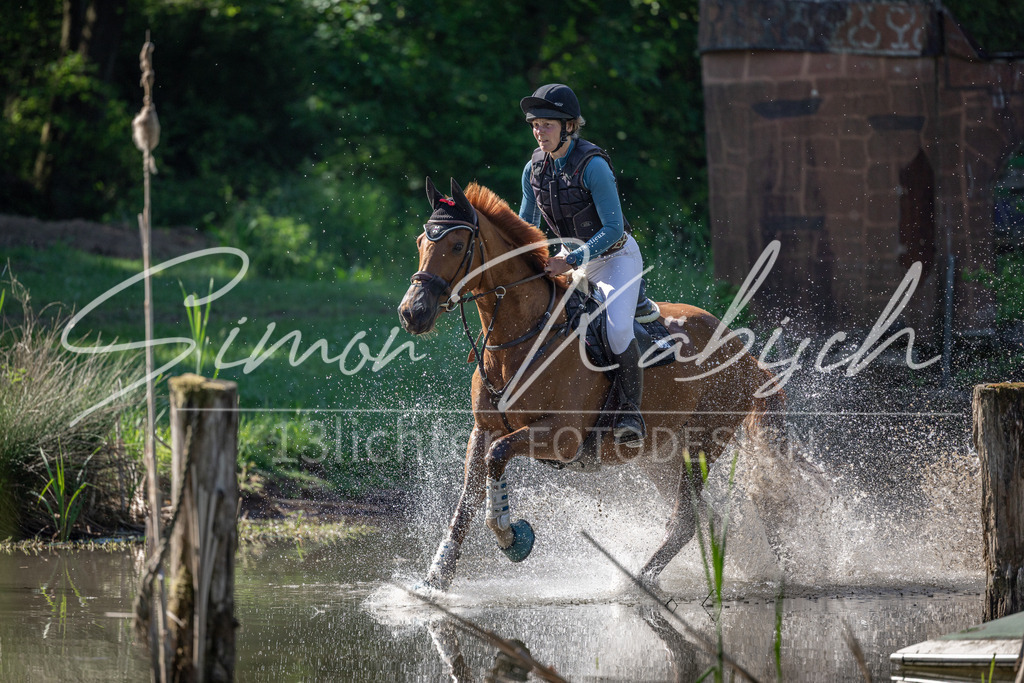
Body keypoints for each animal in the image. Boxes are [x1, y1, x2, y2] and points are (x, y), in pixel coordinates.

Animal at [398, 177, 785, 591]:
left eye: (457, 246)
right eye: (420, 242)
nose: (412, 312)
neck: (523, 336)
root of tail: (746, 356)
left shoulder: (561, 436)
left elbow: (498, 457)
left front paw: (512, 538)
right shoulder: (483, 429)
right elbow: (466, 503)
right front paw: (436, 579)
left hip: (702, 442)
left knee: (686, 517)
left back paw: (638, 581)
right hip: (661, 455)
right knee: (700, 514)